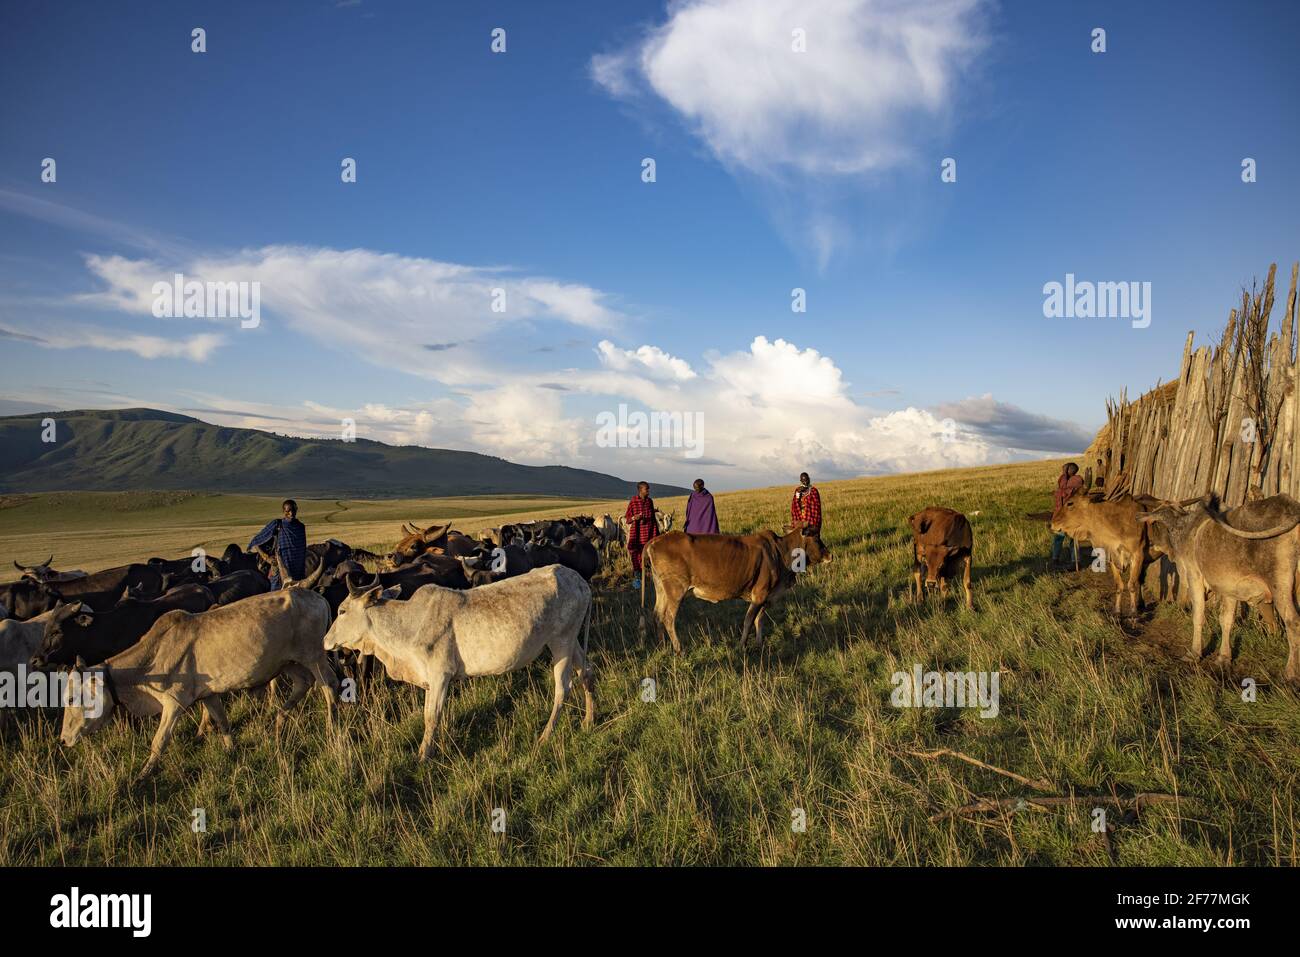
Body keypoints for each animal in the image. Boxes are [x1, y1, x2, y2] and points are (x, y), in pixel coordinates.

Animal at [58, 579, 337, 779]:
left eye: (72, 698)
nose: (62, 740)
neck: (150, 659)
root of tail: (317, 597)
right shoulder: (209, 695)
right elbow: (222, 722)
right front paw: (230, 749)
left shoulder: (174, 703)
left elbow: (159, 741)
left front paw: (142, 775)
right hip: (287, 662)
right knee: (303, 683)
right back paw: (279, 720)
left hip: (314, 656)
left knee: (329, 685)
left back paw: (331, 725)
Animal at [322, 565, 593, 759]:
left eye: (342, 611)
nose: (325, 640)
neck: (408, 625)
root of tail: (579, 581)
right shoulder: (430, 680)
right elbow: (429, 714)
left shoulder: (441, 675)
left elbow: (431, 716)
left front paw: (423, 755)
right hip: (571, 642)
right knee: (586, 673)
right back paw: (589, 720)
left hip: (561, 641)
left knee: (563, 687)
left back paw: (545, 736)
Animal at [641, 527, 832, 653]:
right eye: (816, 538)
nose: (830, 555)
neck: (780, 552)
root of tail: (654, 541)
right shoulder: (760, 595)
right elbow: (748, 621)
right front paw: (741, 646)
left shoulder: (764, 598)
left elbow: (759, 621)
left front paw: (759, 644)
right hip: (675, 591)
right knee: (668, 618)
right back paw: (678, 649)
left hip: (661, 590)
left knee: (657, 615)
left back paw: (662, 646)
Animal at [1140, 493, 1300, 681]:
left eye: (1153, 524)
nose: (1150, 544)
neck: (1184, 529)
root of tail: (1291, 504)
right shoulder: (1230, 588)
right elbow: (1226, 620)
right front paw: (1224, 658)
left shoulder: (1194, 576)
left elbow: (1198, 615)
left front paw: (1194, 653)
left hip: (1280, 587)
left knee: (1293, 622)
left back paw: (1290, 674)